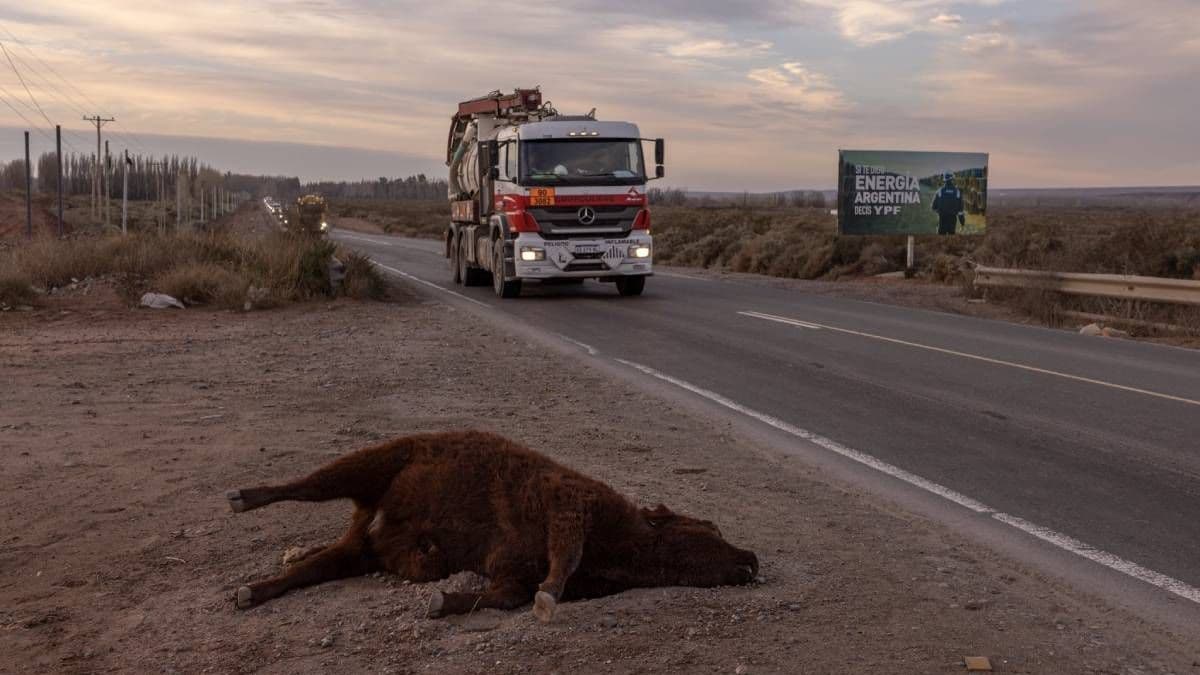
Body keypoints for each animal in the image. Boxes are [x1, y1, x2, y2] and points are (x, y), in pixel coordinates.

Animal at [225, 430, 758, 622]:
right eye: (710, 530)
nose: (752, 559)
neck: (623, 545)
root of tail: (371, 521)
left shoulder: (511, 570)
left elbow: (505, 596)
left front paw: (443, 601)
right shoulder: (569, 505)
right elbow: (562, 559)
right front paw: (548, 600)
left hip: (360, 550)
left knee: (312, 567)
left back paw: (253, 590)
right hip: (375, 462)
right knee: (310, 485)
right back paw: (242, 498)